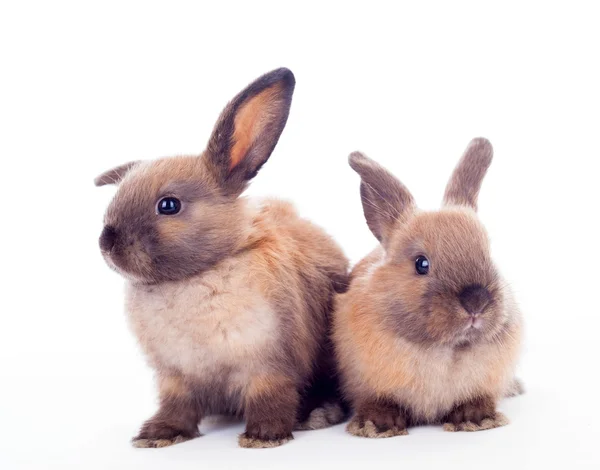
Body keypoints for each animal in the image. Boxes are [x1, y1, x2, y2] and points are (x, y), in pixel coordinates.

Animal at [94, 67, 346, 448]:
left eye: (169, 205)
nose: (106, 241)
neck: (195, 275)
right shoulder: (175, 376)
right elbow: (176, 407)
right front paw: (157, 435)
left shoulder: (269, 366)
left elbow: (270, 398)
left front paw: (263, 436)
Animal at [332, 139, 524, 436]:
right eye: (421, 264)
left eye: (488, 253)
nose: (476, 301)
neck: (444, 349)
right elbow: (375, 401)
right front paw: (377, 425)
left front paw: (476, 419)